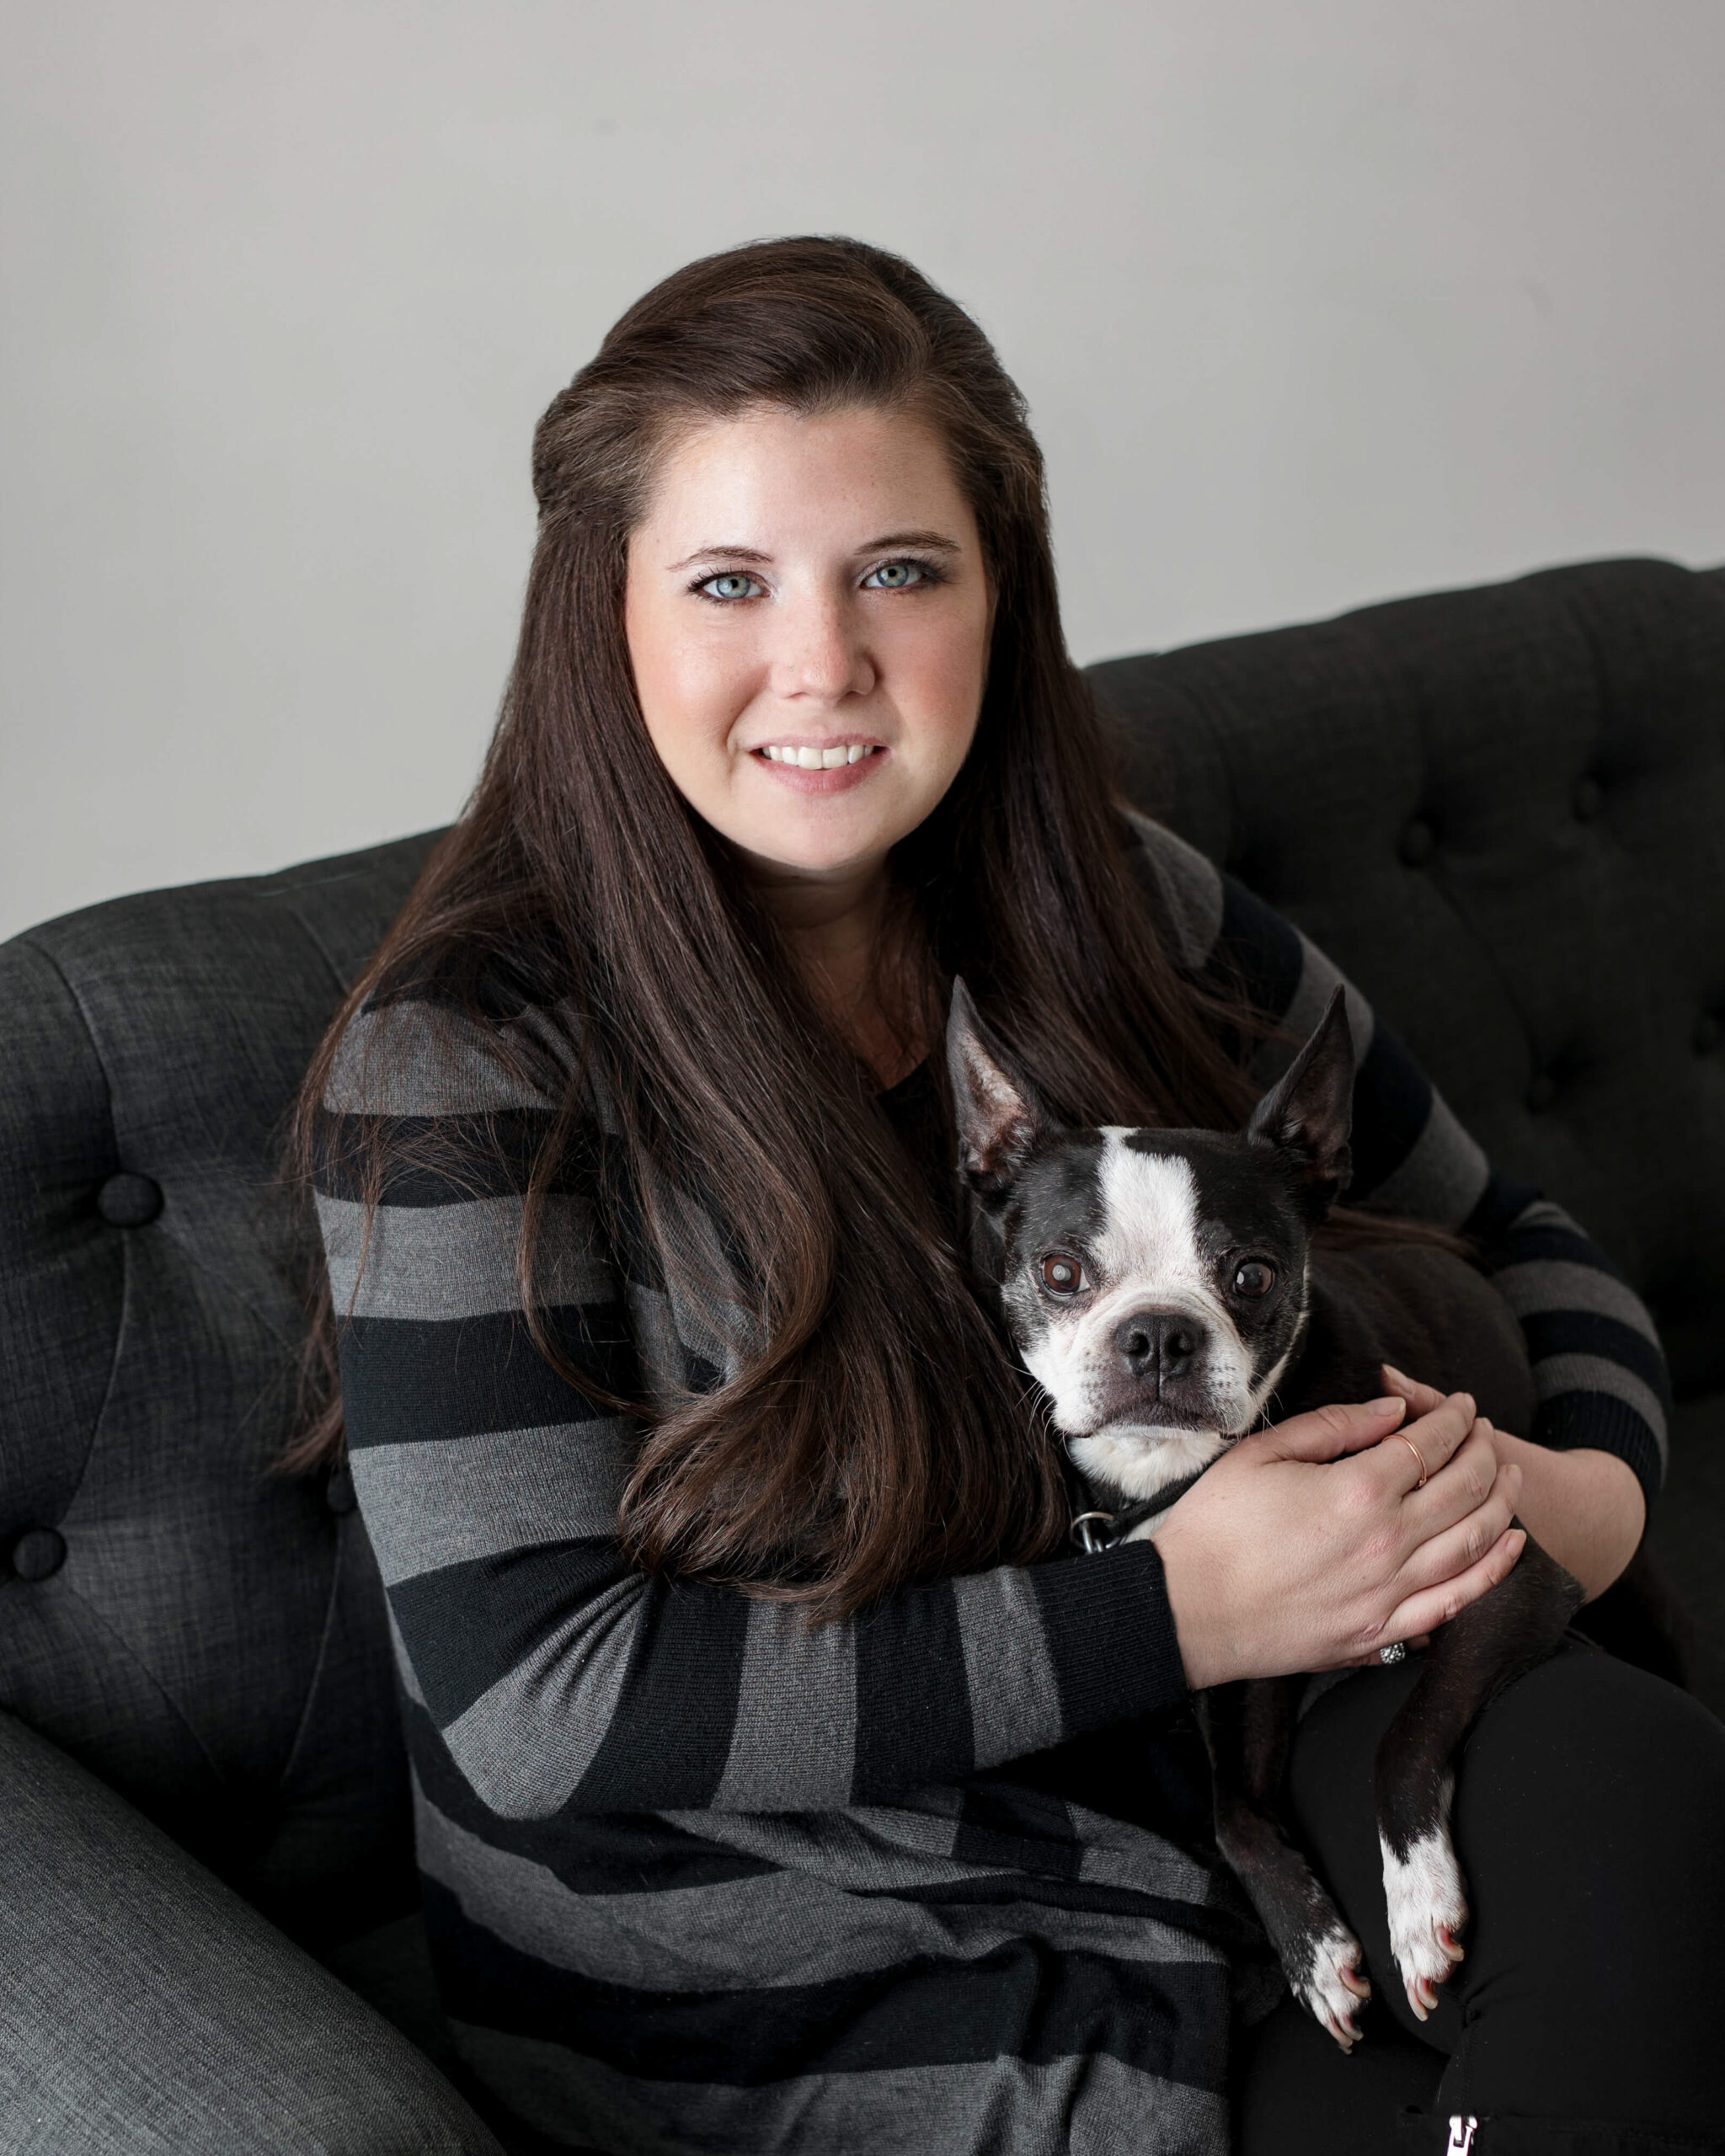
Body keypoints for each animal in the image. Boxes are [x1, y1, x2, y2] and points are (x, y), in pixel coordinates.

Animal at [948, 987, 1587, 2043]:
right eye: (1059, 1273)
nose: (1157, 1334)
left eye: (1249, 1275)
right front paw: (1313, 1950)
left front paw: (1416, 1904)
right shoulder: (1242, 1665)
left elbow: (1399, 1738)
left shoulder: (1519, 1576)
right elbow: (1227, 1814)